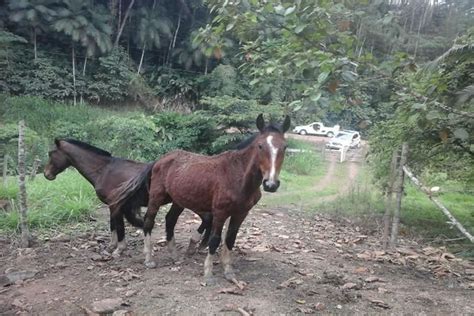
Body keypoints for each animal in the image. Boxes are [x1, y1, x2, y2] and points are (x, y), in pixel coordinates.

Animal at [44, 138, 211, 256]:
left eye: (50, 154)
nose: (47, 174)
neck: (104, 170)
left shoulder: (116, 205)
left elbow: (119, 226)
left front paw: (119, 249)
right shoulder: (113, 206)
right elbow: (112, 225)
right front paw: (111, 247)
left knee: (207, 218)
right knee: (207, 218)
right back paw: (201, 245)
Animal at [112, 114, 288, 284]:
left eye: (284, 147)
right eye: (260, 146)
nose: (271, 184)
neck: (236, 176)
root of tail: (160, 159)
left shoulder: (241, 214)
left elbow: (230, 240)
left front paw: (228, 271)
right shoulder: (220, 212)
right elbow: (215, 240)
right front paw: (208, 274)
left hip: (178, 201)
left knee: (170, 220)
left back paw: (174, 255)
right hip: (156, 197)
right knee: (149, 222)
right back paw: (149, 258)